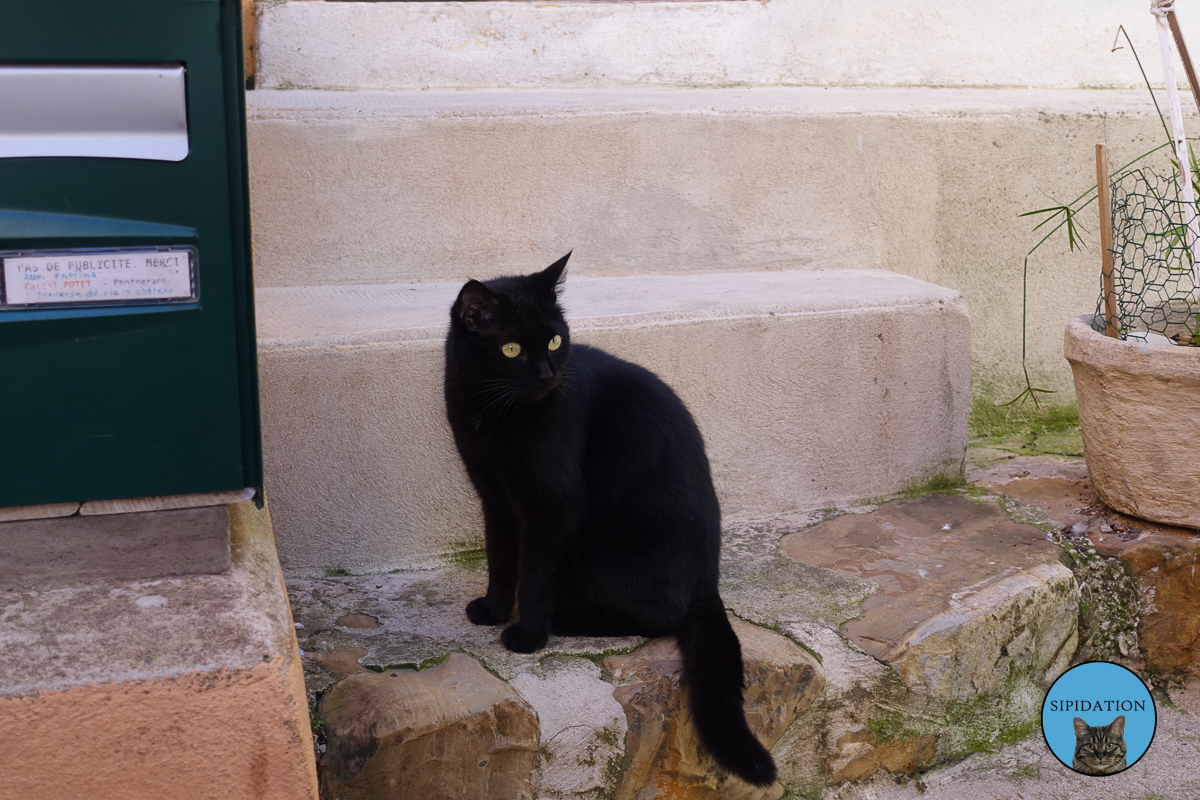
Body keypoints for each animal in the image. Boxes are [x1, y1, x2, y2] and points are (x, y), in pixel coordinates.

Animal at [444, 253, 777, 786]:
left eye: (555, 340)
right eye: (512, 348)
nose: (546, 375)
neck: (493, 413)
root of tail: (708, 583)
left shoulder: (554, 506)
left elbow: (533, 576)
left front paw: (526, 635)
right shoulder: (494, 496)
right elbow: (500, 559)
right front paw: (494, 609)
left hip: (610, 548)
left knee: (658, 616)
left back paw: (565, 618)